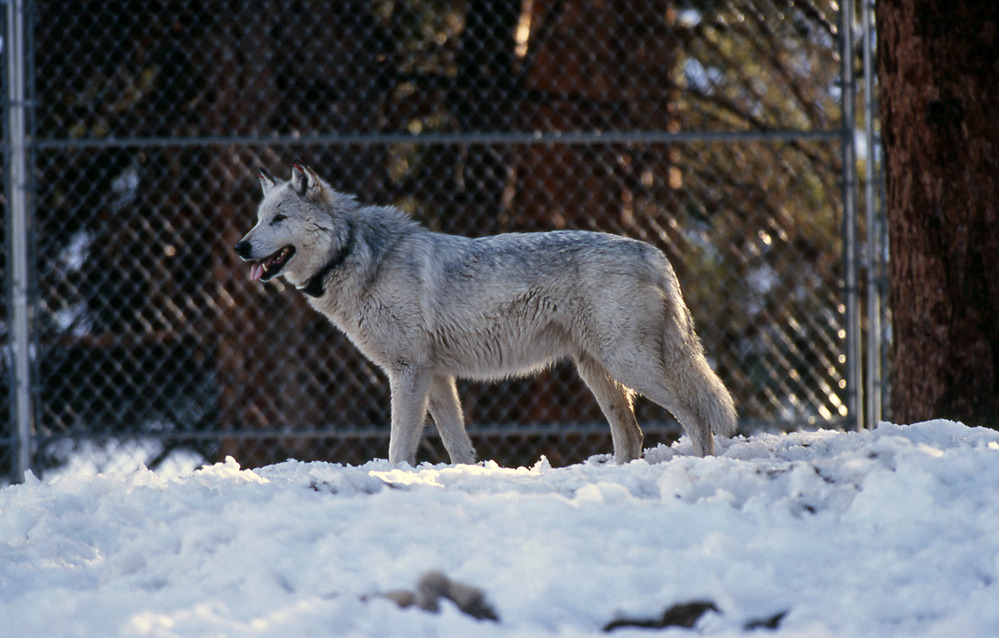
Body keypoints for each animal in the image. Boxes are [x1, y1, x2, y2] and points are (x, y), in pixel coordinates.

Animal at [235, 163, 736, 466]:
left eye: (279, 219)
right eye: (258, 218)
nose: (240, 247)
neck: (354, 253)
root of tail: (653, 252)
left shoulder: (408, 372)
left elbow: (399, 446)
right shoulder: (436, 376)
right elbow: (458, 445)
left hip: (628, 365)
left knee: (696, 414)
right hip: (599, 373)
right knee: (631, 434)